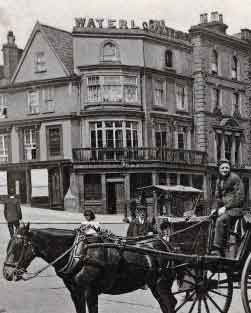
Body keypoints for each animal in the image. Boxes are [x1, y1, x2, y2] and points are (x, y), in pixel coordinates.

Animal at [2, 223, 176, 312]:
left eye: (18, 246)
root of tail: (166, 245)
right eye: (9, 245)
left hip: (161, 284)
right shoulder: (75, 292)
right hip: (154, 285)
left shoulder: (90, 292)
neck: (78, 253)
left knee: (169, 304)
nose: (7, 273)